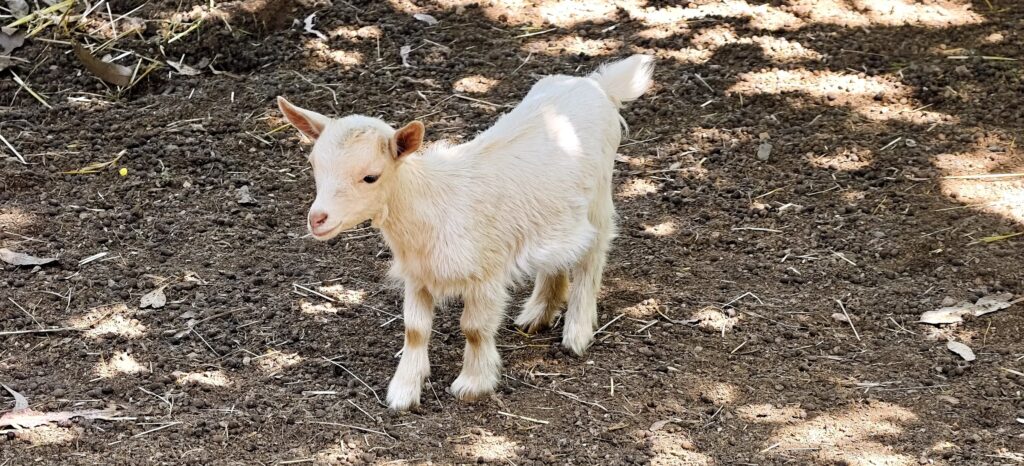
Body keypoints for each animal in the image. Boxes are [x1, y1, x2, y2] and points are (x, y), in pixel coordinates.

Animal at [277, 54, 654, 410]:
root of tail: (598, 84)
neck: (429, 204)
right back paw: (536, 315)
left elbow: (473, 329)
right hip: (556, 215)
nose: (318, 219)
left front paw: (473, 384)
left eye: (371, 176)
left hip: (599, 198)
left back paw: (576, 333)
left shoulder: (486, 274)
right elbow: (415, 330)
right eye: (314, 165)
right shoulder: (418, 274)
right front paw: (403, 391)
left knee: (593, 254)